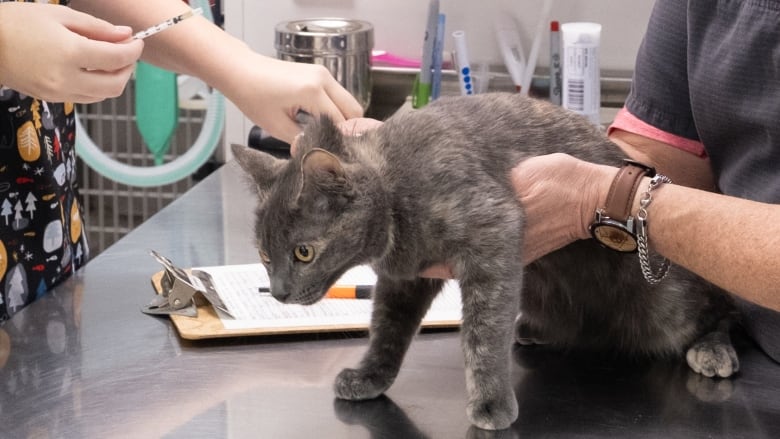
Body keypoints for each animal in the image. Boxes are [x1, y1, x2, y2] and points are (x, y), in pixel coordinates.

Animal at [230, 94, 736, 432]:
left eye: (304, 252)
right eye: (264, 255)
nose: (278, 291)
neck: (395, 190)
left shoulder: (493, 234)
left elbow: (483, 334)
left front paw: (491, 402)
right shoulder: (404, 276)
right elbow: (387, 328)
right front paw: (371, 375)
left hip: (665, 298)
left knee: (718, 307)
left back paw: (713, 349)